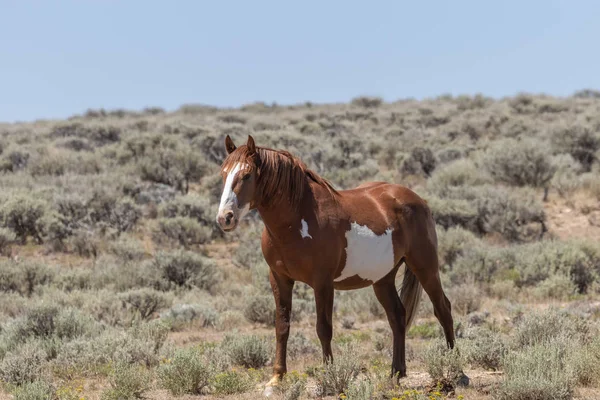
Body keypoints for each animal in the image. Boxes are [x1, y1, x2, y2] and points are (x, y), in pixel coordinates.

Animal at [216, 134, 454, 390]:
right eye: (223, 174)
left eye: (247, 175)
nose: (225, 218)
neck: (299, 219)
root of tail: (418, 200)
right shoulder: (279, 279)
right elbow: (282, 326)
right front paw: (277, 377)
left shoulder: (322, 283)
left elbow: (324, 329)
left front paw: (329, 375)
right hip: (383, 279)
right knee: (398, 317)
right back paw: (396, 373)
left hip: (425, 267)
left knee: (443, 309)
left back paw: (454, 366)